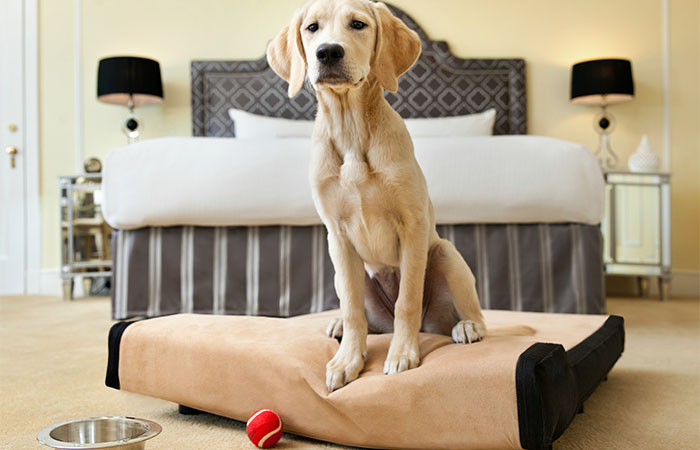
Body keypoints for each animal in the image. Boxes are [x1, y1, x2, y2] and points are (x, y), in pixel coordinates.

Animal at [268, 0, 486, 390]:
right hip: (347, 273)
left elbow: (407, 301)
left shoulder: (412, 226)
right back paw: (339, 326)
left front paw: (402, 353)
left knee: (469, 314)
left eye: (358, 24)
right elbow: (353, 309)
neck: (351, 129)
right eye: (312, 28)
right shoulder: (337, 236)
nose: (328, 52)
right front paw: (347, 360)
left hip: (445, 254)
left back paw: (468, 326)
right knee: (357, 313)